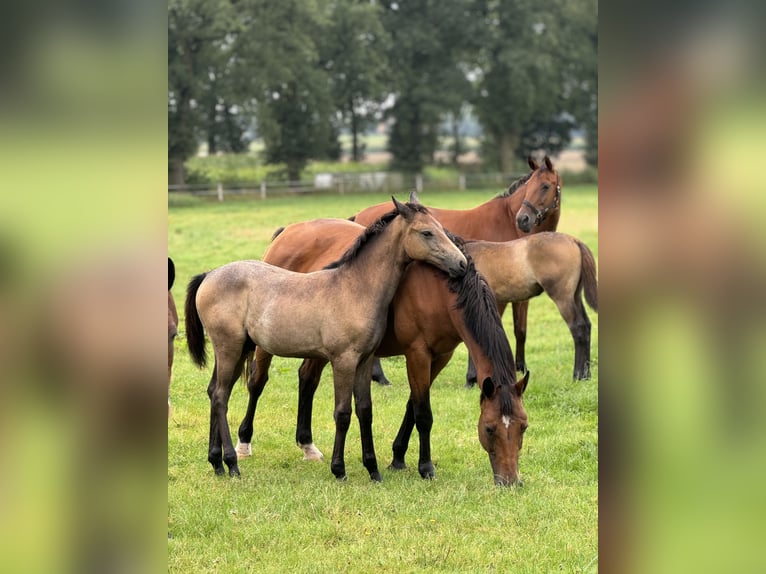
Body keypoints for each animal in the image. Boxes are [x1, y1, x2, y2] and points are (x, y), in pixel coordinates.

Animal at [184, 198, 468, 482]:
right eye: (427, 232)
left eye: (441, 227)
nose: (462, 264)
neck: (355, 288)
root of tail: (209, 275)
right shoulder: (343, 360)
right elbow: (342, 412)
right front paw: (339, 469)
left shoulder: (365, 360)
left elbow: (365, 410)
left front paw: (373, 469)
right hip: (230, 347)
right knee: (221, 395)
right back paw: (232, 463)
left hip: (238, 349)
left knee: (215, 391)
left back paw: (216, 462)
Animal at [242, 218, 536, 488]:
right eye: (489, 428)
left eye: (523, 426)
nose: (511, 481)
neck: (441, 287)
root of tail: (286, 232)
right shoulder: (417, 353)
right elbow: (422, 412)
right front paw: (425, 467)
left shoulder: (441, 356)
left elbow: (412, 405)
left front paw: (398, 457)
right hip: (267, 344)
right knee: (257, 382)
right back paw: (244, 442)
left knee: (307, 379)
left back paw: (307, 444)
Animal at [354, 156, 564, 388]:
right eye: (529, 187)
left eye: (545, 186)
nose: (523, 219)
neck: (508, 224)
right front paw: (472, 377)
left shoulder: (519, 297)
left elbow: (520, 330)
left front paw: (520, 368)